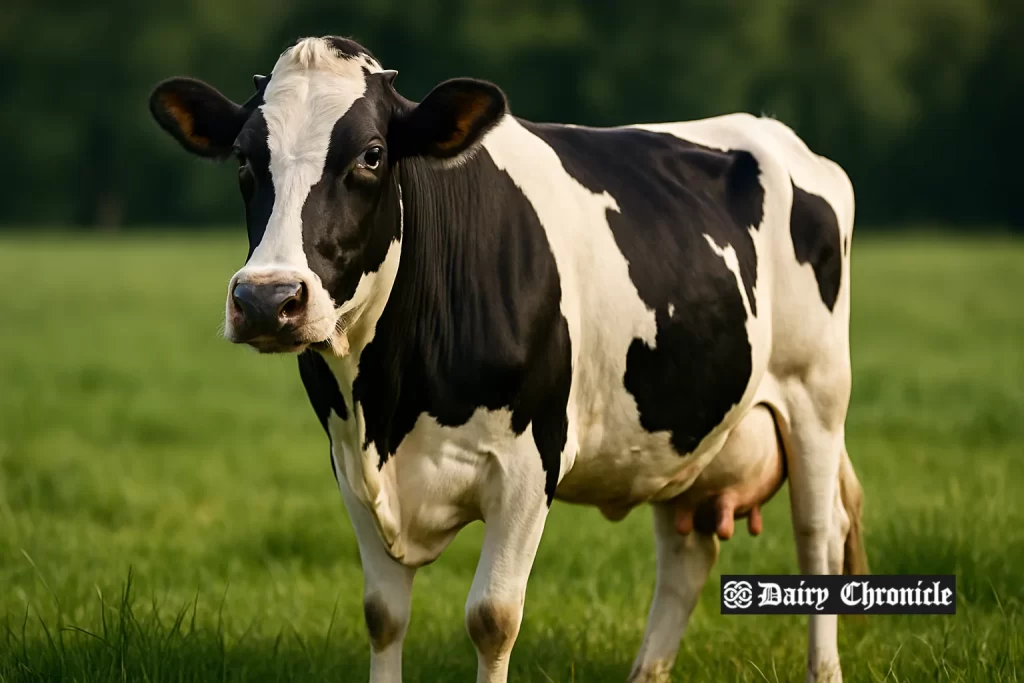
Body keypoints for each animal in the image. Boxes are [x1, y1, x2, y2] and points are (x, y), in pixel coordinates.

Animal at [149, 36, 868, 683]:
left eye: (372, 155)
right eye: (245, 160)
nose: (267, 299)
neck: (390, 402)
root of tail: (773, 133)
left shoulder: (530, 462)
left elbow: (492, 617)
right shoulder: (349, 460)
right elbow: (383, 614)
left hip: (817, 395)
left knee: (818, 536)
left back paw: (824, 669)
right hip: (682, 426)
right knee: (685, 556)